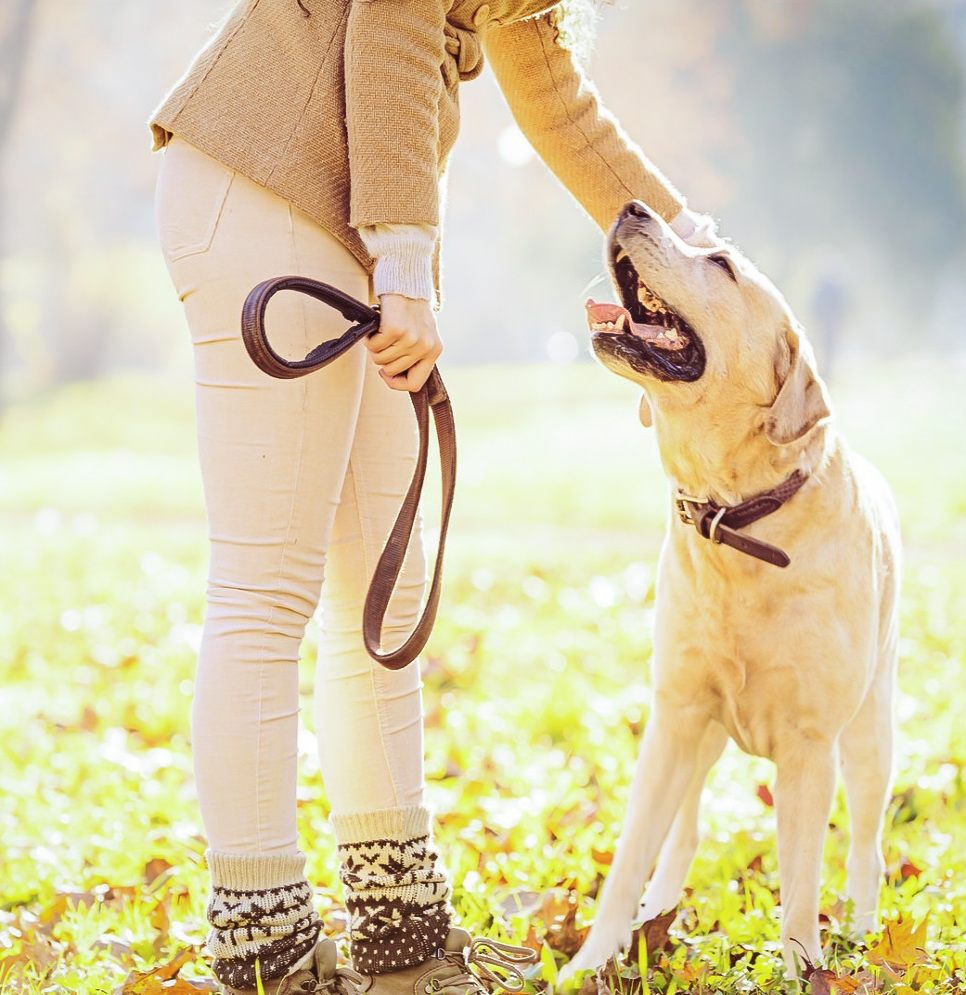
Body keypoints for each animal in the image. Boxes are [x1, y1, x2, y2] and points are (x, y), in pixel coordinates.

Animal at [564, 200, 904, 980]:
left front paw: (802, 970)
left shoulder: (811, 746)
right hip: (702, 739)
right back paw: (658, 918)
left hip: (869, 738)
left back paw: (863, 932)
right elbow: (628, 858)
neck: (734, 517)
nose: (632, 205)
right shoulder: (673, 717)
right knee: (682, 836)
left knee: (865, 848)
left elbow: (802, 884)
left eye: (719, 265)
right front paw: (589, 963)